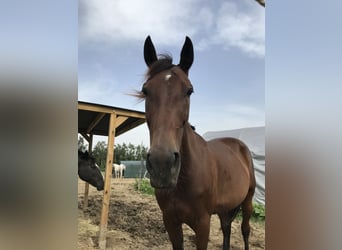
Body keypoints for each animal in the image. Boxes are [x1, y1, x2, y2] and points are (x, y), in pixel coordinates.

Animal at [138, 35, 255, 250]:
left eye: (189, 91)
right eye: (145, 90)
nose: (162, 165)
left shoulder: (203, 224)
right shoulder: (171, 222)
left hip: (248, 201)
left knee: (245, 230)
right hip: (225, 209)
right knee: (227, 228)